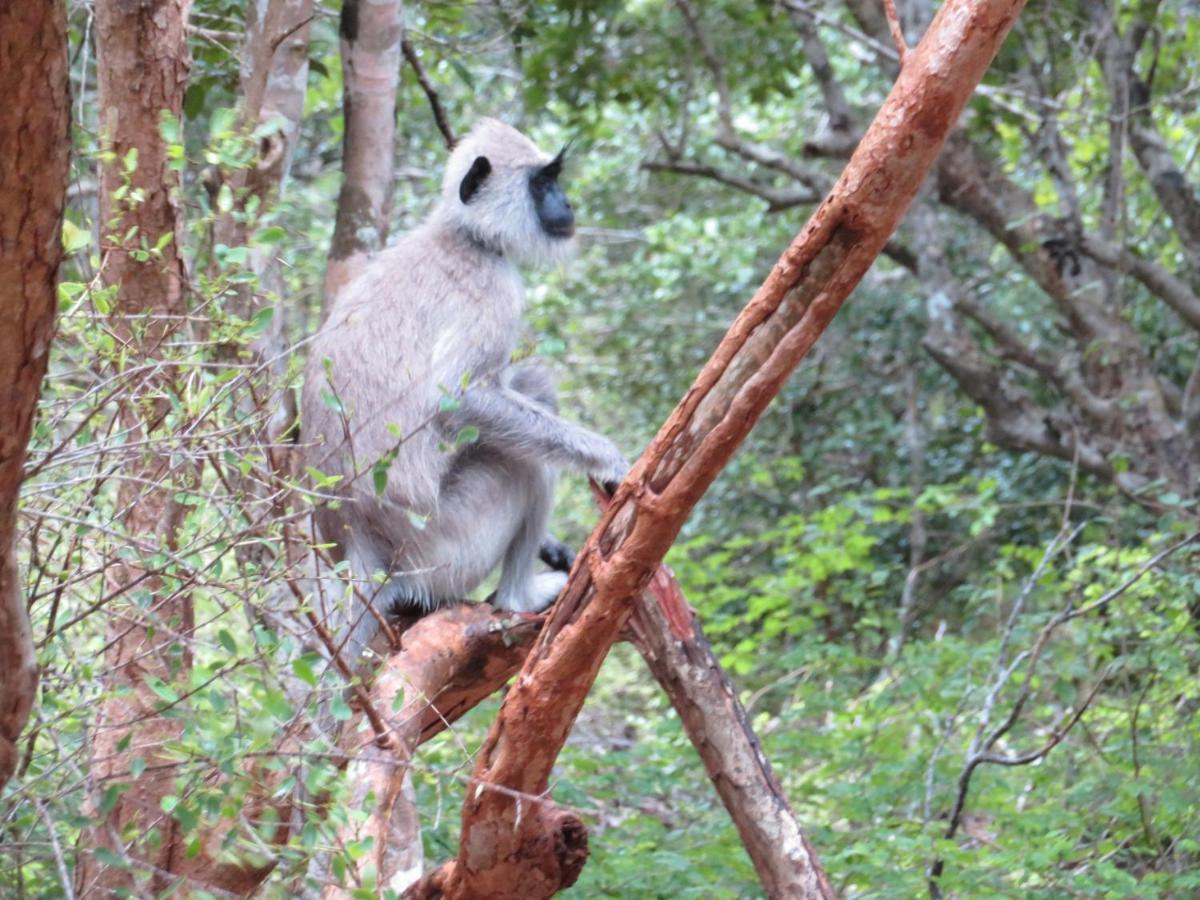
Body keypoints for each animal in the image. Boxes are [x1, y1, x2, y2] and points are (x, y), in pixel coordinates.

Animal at [300, 116, 628, 657]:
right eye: (542, 183)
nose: (566, 203)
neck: (463, 235)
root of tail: (361, 541)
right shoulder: (493, 286)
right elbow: (459, 397)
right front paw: (610, 459)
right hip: (447, 546)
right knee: (525, 458)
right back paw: (519, 596)